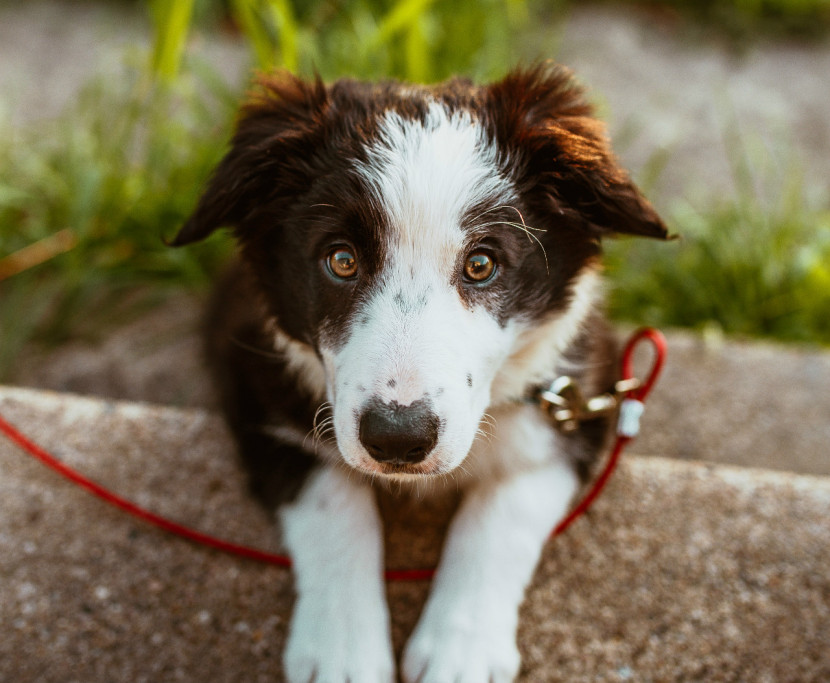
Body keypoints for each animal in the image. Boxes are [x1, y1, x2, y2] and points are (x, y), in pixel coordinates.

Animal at [171, 64, 668, 683]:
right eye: (341, 260)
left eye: (481, 264)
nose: (397, 440)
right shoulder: (254, 381)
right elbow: (334, 502)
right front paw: (344, 653)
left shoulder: (579, 393)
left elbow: (502, 513)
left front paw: (462, 649)